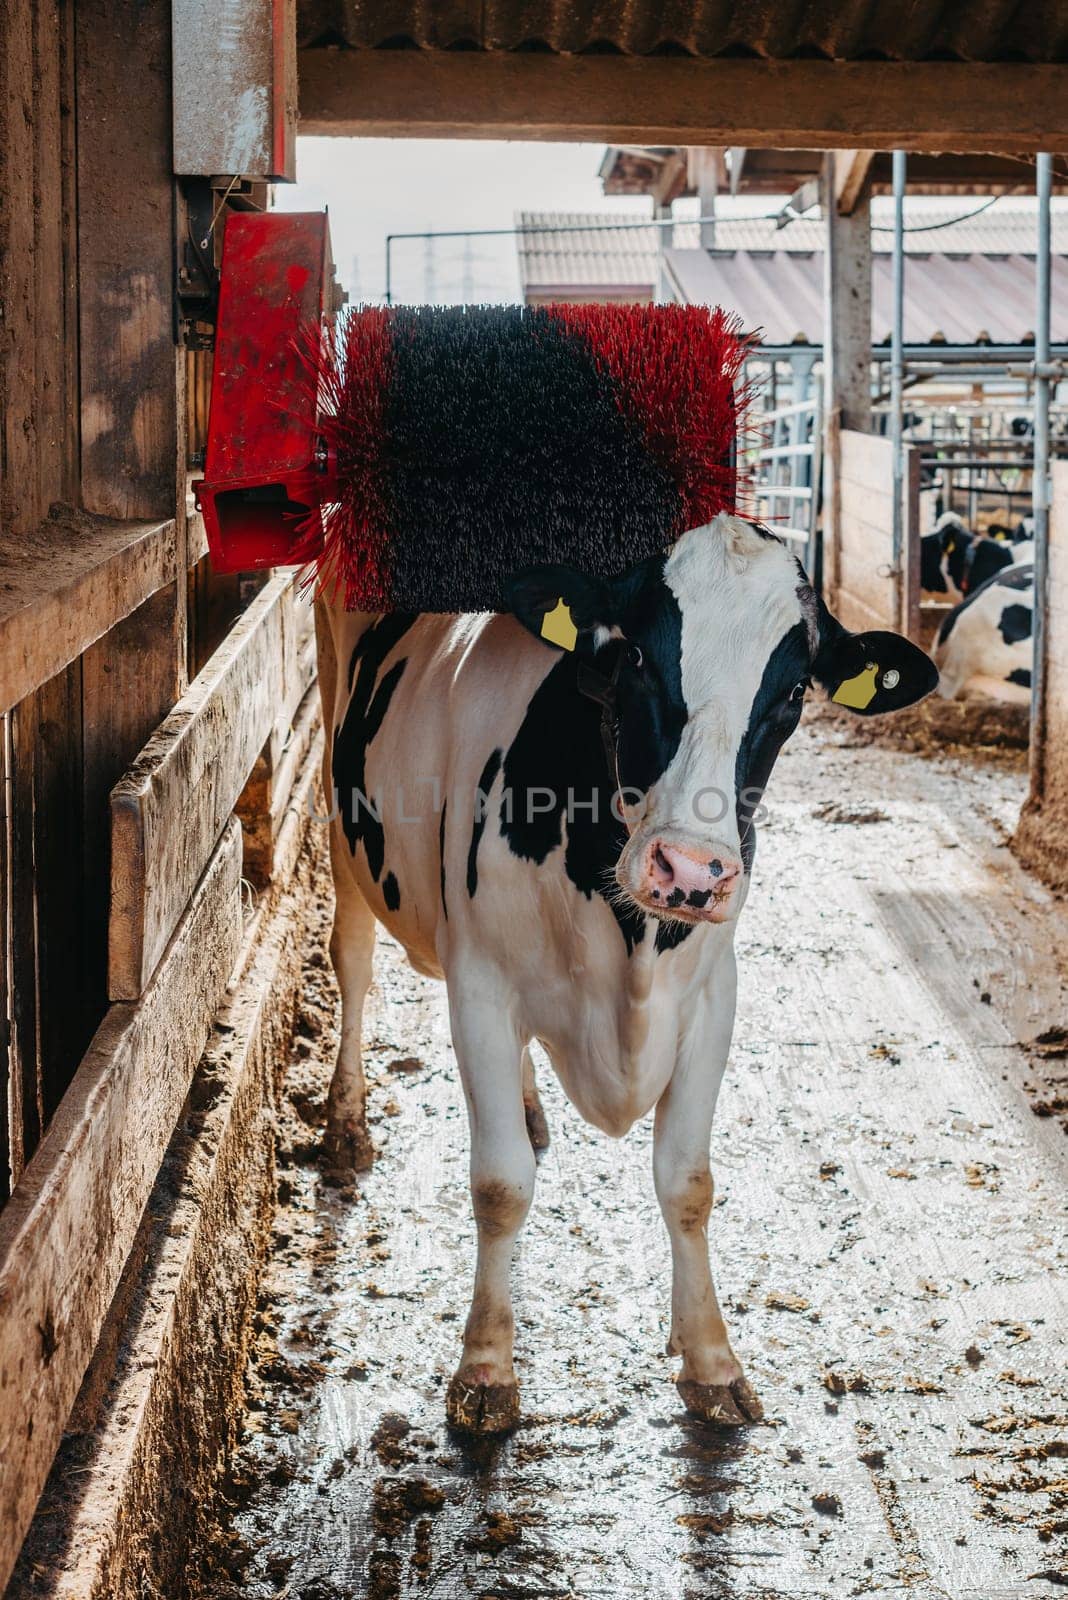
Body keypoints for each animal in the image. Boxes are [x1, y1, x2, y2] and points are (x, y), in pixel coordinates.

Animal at [314, 515, 933, 1440]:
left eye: (793, 692)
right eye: (637, 654)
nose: (693, 869)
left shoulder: (712, 999)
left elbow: (688, 1183)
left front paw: (712, 1361)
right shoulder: (480, 987)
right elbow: (500, 1184)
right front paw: (485, 1370)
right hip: (337, 806)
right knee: (352, 961)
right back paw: (346, 1121)